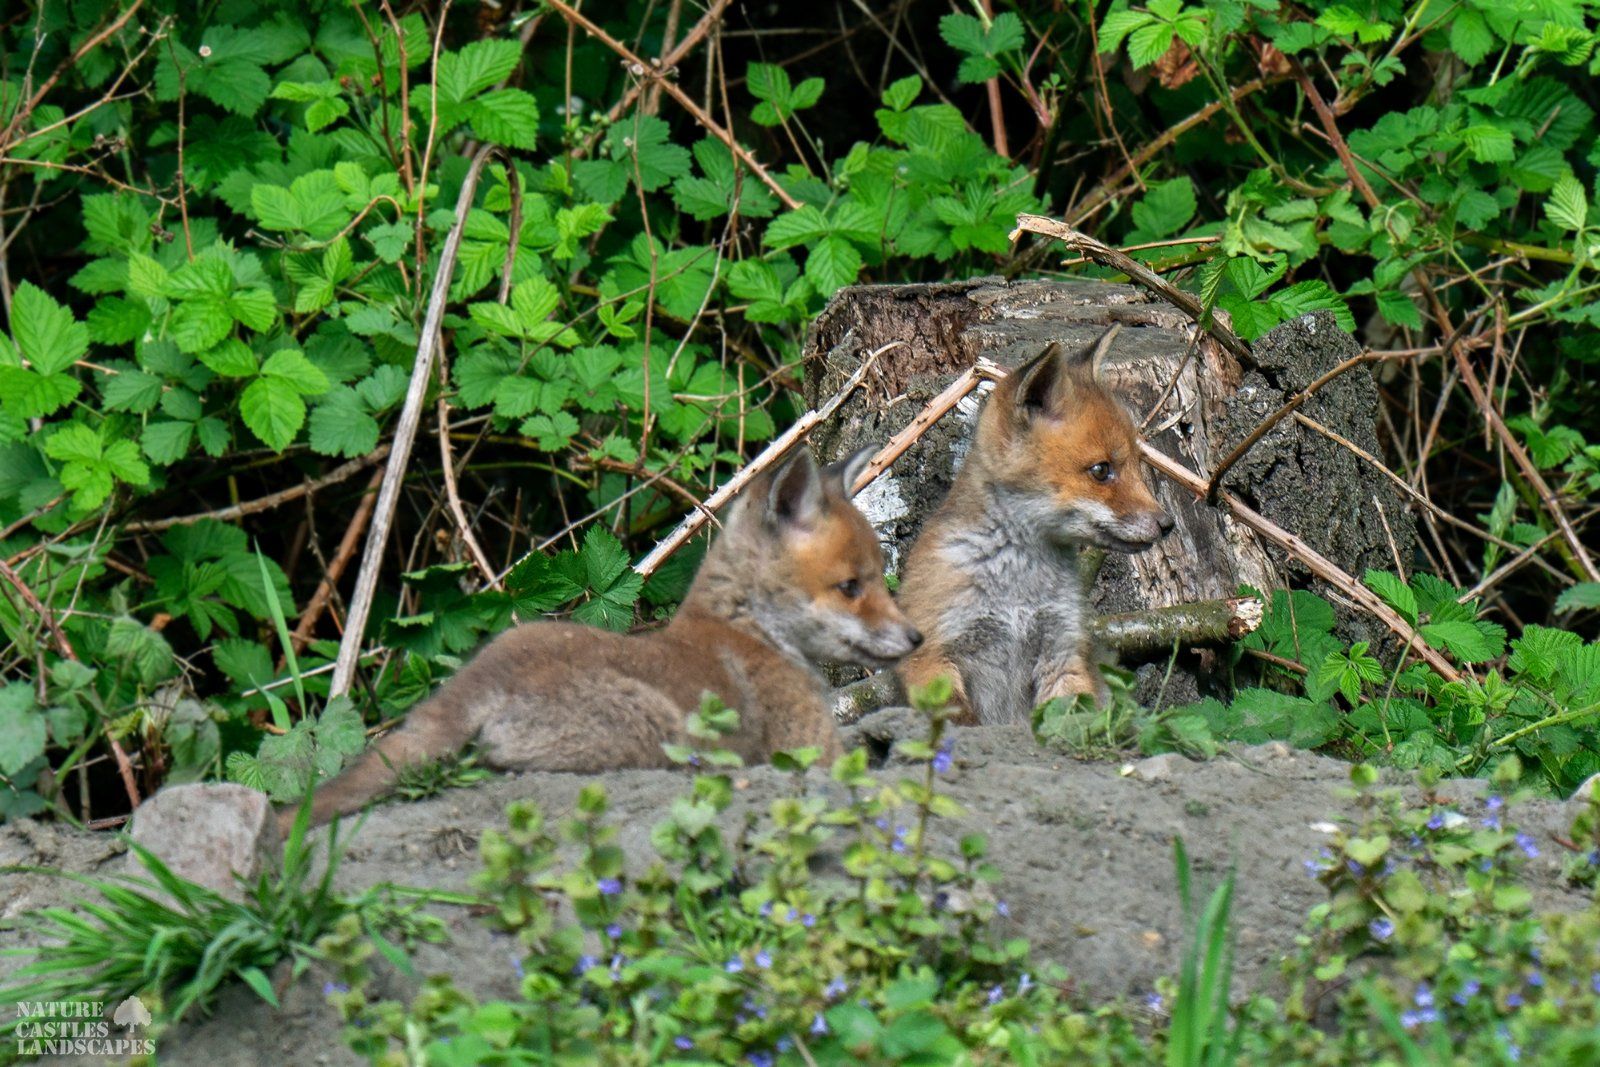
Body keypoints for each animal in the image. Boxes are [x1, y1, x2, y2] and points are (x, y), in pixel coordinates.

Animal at [284, 447, 922, 832]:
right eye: (850, 587)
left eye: (876, 577)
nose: (916, 636)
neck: (747, 628)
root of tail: (475, 683)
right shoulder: (809, 750)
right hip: (654, 731)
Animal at [896, 338, 1173, 726]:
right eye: (1101, 470)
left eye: (1136, 463)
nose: (1167, 524)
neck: (1017, 591)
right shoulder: (932, 656)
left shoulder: (1062, 652)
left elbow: (1068, 721)